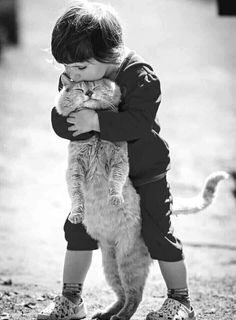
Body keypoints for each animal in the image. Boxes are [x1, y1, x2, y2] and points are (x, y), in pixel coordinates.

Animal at [55, 75, 229, 320]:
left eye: (95, 85)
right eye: (80, 88)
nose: (88, 93)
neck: (96, 134)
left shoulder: (119, 159)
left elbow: (115, 181)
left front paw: (115, 198)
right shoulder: (74, 169)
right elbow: (77, 194)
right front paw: (77, 213)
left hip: (128, 262)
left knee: (135, 296)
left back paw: (123, 316)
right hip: (111, 267)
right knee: (123, 295)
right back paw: (106, 313)